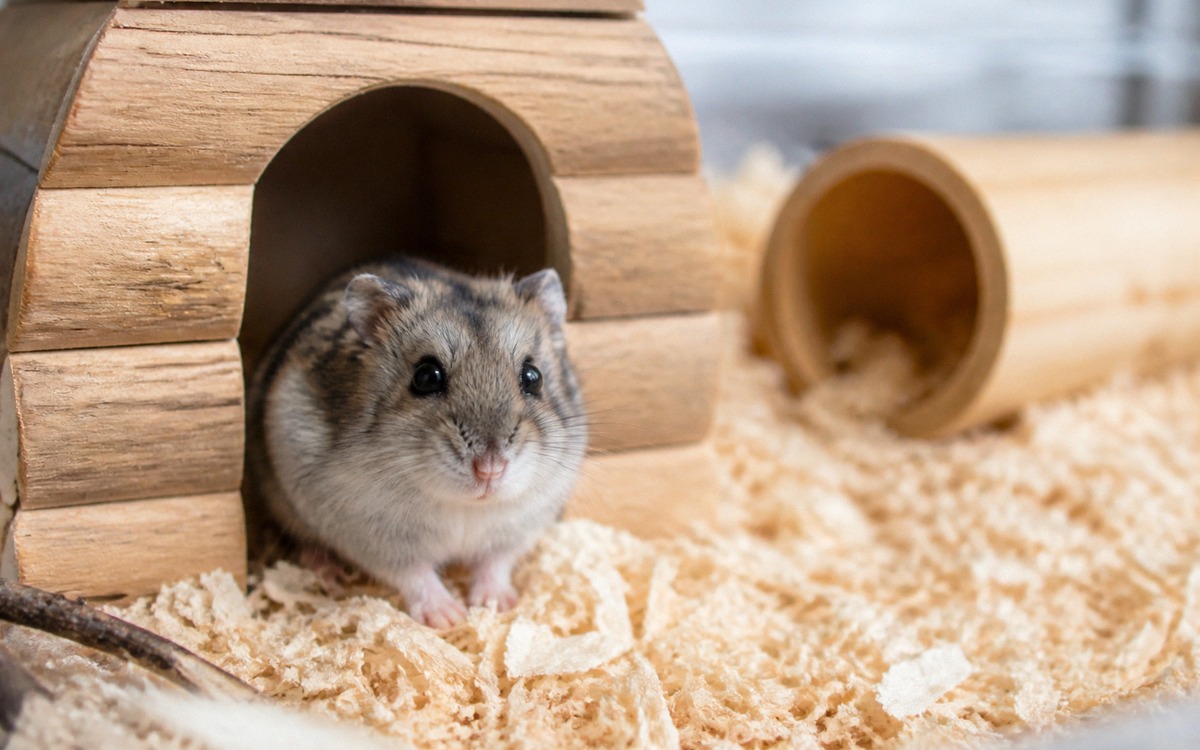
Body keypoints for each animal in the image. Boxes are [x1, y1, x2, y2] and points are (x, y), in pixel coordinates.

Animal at [247, 257, 587, 628]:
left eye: (533, 377)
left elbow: (495, 563)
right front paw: (448, 618)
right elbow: (415, 574)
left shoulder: (519, 529)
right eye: (426, 377)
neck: (464, 506)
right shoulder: (372, 536)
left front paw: (494, 605)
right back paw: (327, 571)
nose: (490, 469)